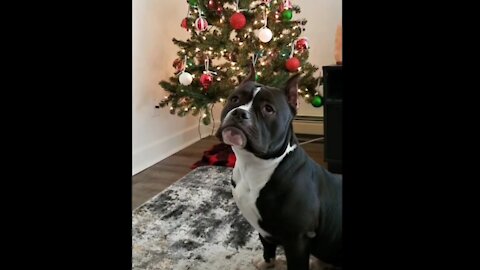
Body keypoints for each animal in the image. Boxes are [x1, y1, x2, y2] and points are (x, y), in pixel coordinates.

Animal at [216, 65, 344, 270]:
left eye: (268, 109)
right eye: (234, 99)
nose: (239, 113)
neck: (253, 164)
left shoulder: (297, 239)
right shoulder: (263, 228)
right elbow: (267, 246)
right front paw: (267, 262)